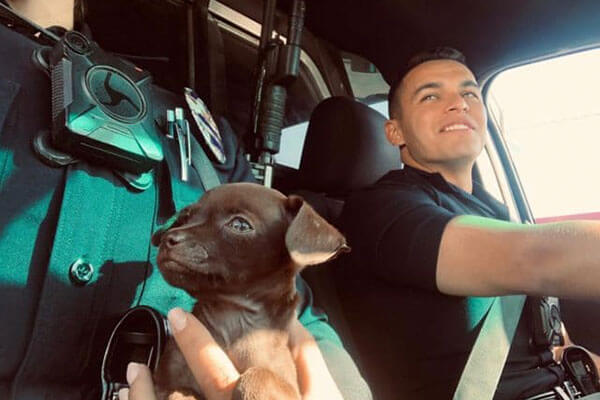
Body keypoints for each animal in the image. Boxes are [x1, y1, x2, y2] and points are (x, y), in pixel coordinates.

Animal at [150, 183, 350, 398]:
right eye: (184, 219)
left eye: (240, 225)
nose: (167, 238)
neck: (232, 318)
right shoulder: (163, 381)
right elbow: (176, 391)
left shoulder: (289, 388)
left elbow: (259, 375)